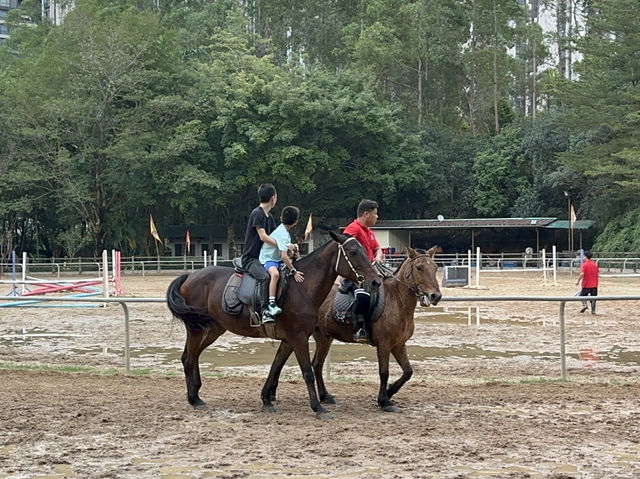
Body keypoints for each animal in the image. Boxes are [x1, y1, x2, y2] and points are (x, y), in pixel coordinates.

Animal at [168, 231, 382, 418]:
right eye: (353, 252)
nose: (376, 281)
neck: (302, 287)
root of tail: (190, 276)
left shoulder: (289, 339)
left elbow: (275, 366)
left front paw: (266, 399)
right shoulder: (298, 337)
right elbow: (307, 372)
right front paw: (317, 407)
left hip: (214, 329)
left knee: (192, 356)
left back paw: (196, 392)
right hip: (197, 329)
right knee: (189, 358)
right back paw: (193, 398)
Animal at [260, 248, 440, 412]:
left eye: (435, 267)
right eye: (419, 268)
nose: (435, 296)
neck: (396, 300)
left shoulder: (398, 345)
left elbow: (408, 371)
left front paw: (389, 391)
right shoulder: (384, 345)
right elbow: (384, 372)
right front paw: (384, 400)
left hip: (323, 338)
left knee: (316, 365)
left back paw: (323, 396)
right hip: (302, 336)